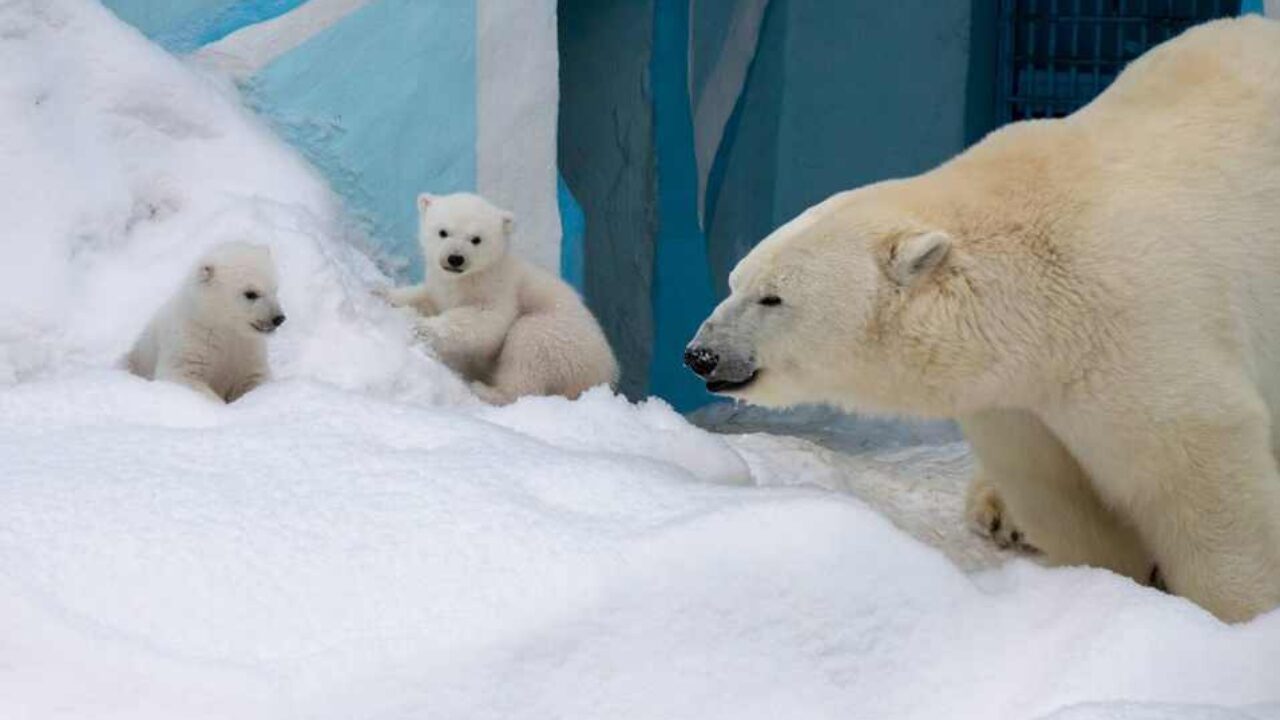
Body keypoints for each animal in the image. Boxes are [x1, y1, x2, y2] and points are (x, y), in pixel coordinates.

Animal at [686, 18, 1280, 622]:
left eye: (773, 298)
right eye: (735, 281)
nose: (700, 354)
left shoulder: (1138, 325)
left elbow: (1198, 468)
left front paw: (1243, 614)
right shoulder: (1018, 395)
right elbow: (1058, 489)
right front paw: (1107, 577)